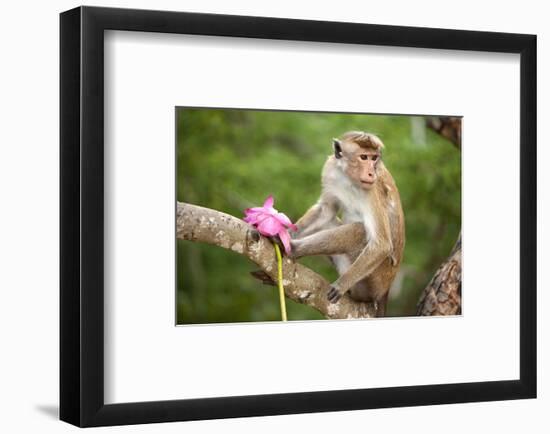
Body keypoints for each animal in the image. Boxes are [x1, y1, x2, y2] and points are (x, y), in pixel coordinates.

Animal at [292, 131, 408, 318]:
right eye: (364, 157)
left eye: (374, 158)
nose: (371, 173)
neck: (349, 178)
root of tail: (386, 290)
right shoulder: (331, 170)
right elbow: (326, 211)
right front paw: (283, 232)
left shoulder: (373, 190)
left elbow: (381, 244)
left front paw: (342, 284)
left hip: (374, 280)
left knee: (359, 231)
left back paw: (294, 249)